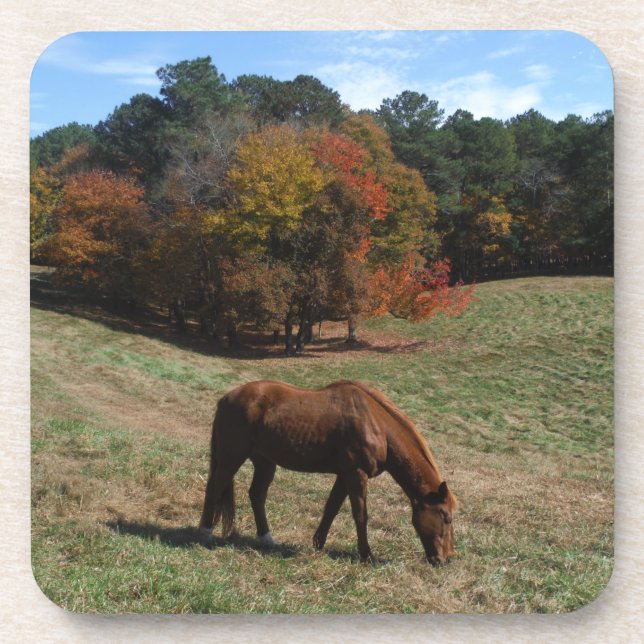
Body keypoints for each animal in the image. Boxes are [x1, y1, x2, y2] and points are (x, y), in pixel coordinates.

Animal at [199, 379, 458, 565]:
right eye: (446, 517)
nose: (446, 560)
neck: (376, 425)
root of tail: (226, 398)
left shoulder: (344, 475)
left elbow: (331, 509)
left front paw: (318, 544)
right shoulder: (355, 474)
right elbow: (360, 515)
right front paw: (367, 555)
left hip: (264, 462)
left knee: (256, 495)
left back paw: (267, 538)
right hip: (232, 457)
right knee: (215, 487)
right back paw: (205, 533)